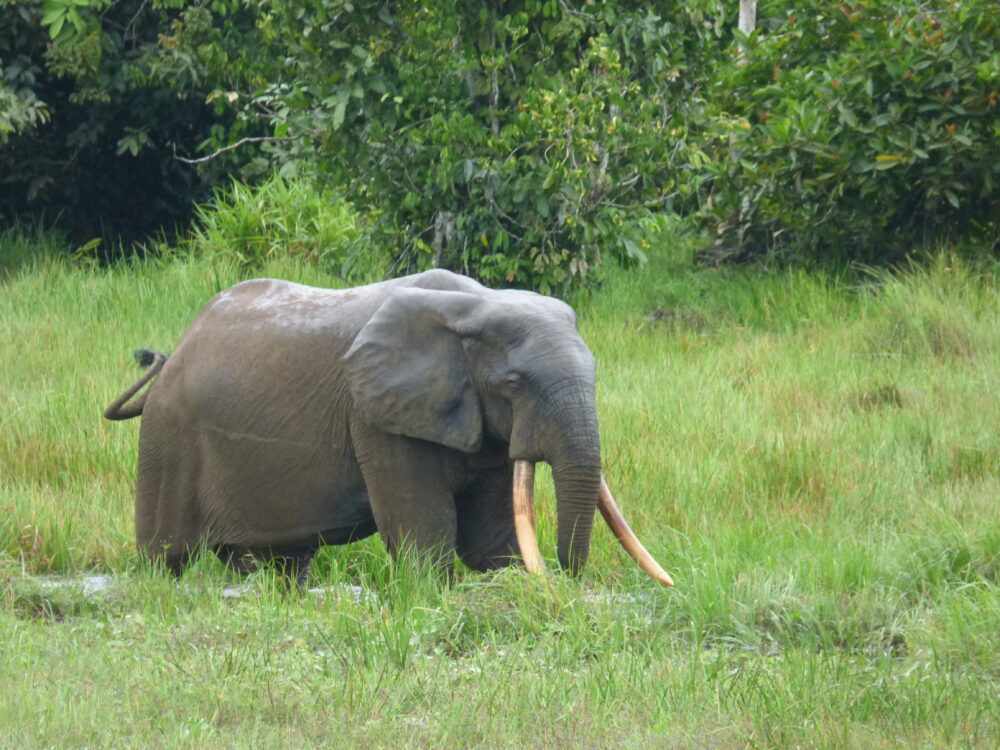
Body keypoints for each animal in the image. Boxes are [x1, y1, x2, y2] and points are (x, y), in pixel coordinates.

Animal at [105, 269, 672, 585]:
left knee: (277, 562)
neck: (477, 305)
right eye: (514, 384)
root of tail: (176, 348)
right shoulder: (374, 415)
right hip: (169, 438)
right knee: (166, 557)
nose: (567, 583)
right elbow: (427, 537)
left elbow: (490, 541)